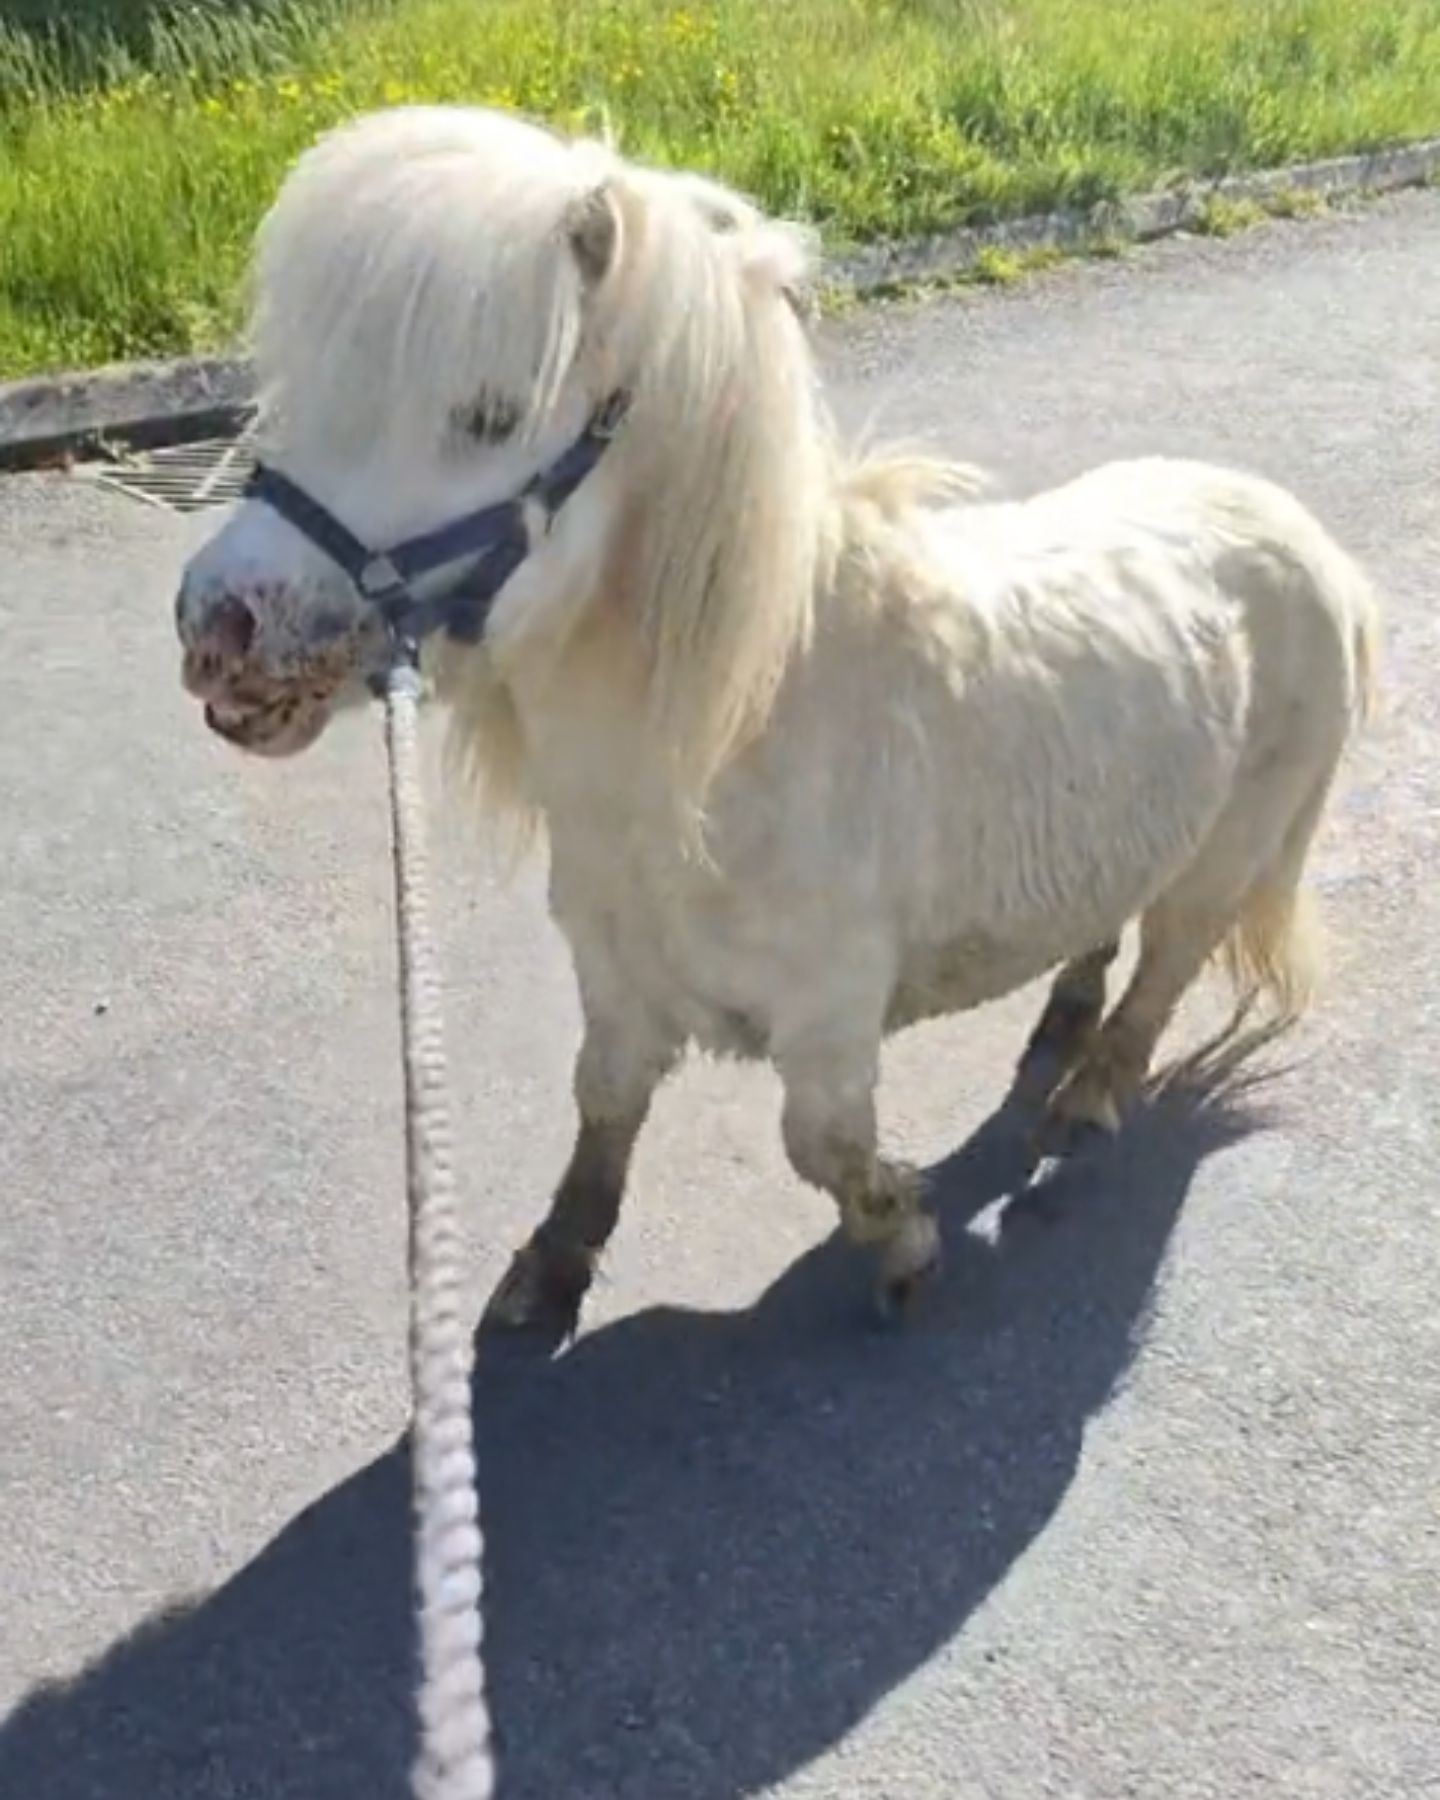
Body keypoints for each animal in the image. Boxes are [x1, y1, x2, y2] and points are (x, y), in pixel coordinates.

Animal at [174, 103, 1380, 1332]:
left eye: (488, 414)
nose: (217, 624)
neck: (731, 743)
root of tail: (1306, 538)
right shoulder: (617, 983)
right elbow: (602, 1107)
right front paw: (550, 1265)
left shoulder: (831, 1017)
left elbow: (824, 1145)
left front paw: (904, 1240)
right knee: (1108, 926)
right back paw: (1062, 1021)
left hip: (1227, 857)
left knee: (1166, 968)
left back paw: (1086, 1098)